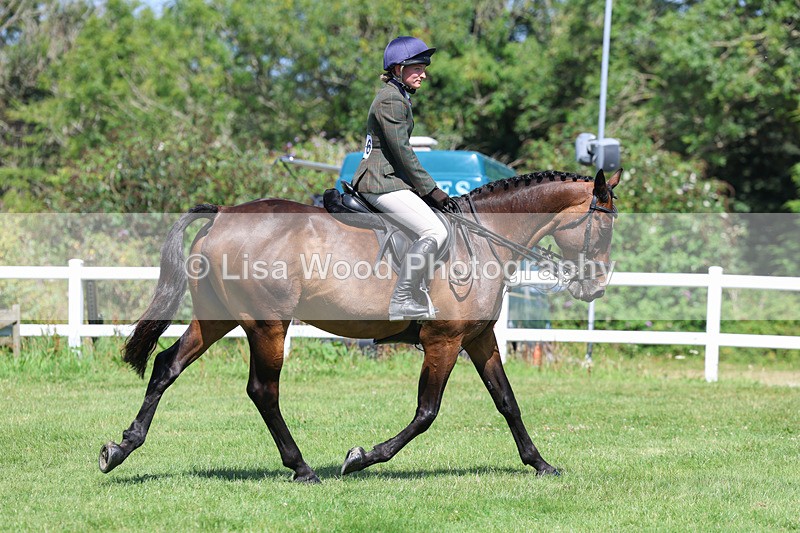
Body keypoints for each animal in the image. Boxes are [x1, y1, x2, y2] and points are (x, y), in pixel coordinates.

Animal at [99, 168, 621, 482]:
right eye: (605, 225)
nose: (595, 287)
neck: (486, 240)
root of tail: (224, 215)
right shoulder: (444, 341)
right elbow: (426, 412)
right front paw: (362, 458)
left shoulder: (479, 338)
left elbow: (508, 402)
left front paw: (540, 463)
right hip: (268, 325)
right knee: (263, 390)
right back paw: (302, 467)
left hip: (216, 318)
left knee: (166, 367)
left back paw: (122, 447)